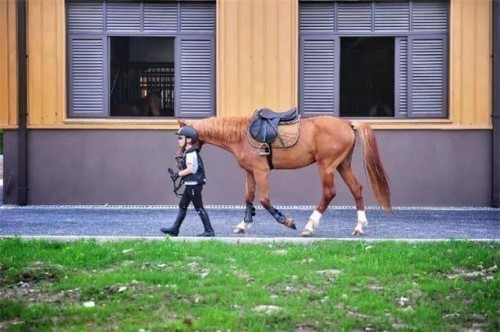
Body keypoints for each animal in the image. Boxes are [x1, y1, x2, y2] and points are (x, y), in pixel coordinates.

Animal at [179, 116, 390, 236]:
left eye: (181, 137)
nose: (180, 158)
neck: (240, 135)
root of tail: (347, 123)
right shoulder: (250, 172)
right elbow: (248, 197)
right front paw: (244, 225)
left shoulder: (261, 172)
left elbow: (264, 200)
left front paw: (287, 221)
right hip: (342, 165)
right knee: (356, 189)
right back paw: (359, 227)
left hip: (327, 166)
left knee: (329, 193)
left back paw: (310, 226)